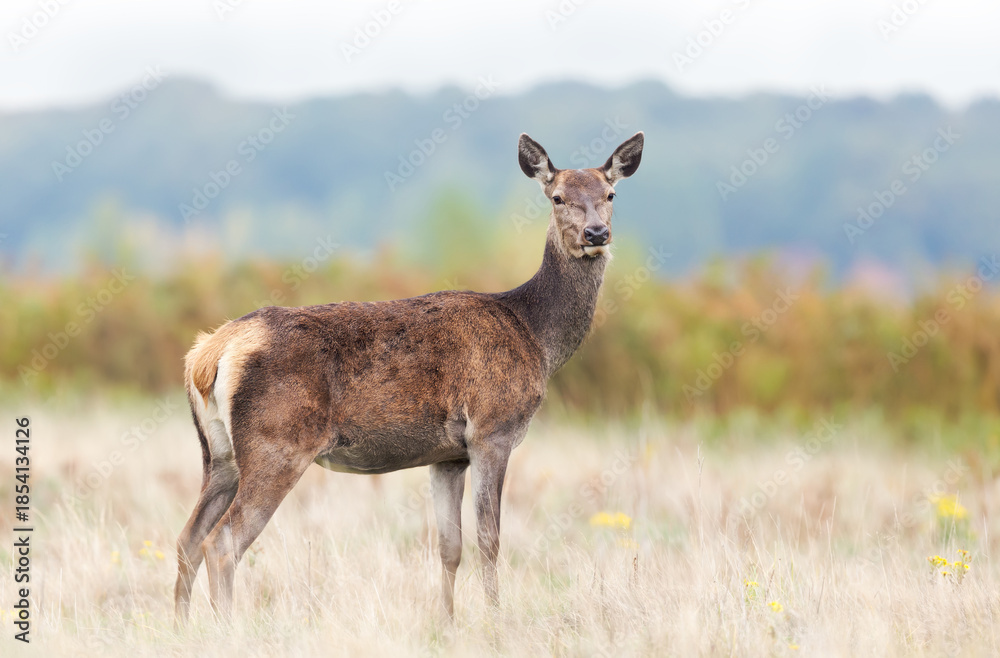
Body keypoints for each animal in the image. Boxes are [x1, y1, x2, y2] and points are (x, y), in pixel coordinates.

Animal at [173, 131, 644, 624]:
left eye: (610, 194)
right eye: (557, 197)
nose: (597, 233)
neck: (537, 336)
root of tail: (208, 353)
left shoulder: (448, 455)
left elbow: (449, 547)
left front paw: (448, 623)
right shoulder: (492, 429)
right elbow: (490, 540)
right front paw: (496, 621)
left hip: (218, 454)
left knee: (187, 538)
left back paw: (183, 627)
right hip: (277, 442)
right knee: (221, 542)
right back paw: (227, 626)